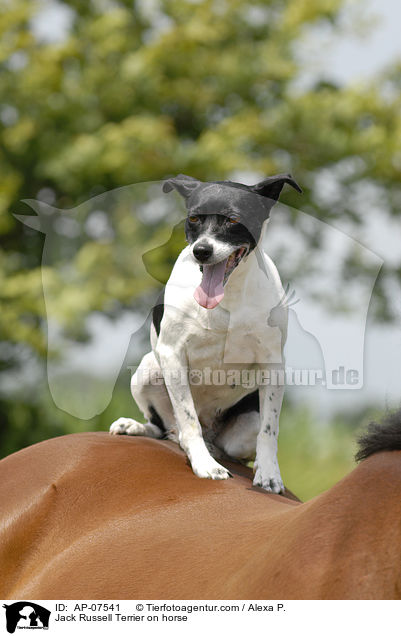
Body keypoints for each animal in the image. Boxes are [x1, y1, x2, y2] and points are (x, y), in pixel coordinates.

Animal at [109, 173, 300, 492]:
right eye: (194, 218)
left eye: (234, 219)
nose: (202, 251)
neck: (227, 297)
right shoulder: (172, 355)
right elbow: (188, 421)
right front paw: (204, 465)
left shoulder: (273, 363)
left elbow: (270, 429)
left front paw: (269, 474)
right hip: (147, 371)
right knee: (167, 428)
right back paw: (137, 427)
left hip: (242, 430)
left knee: (231, 446)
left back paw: (219, 450)